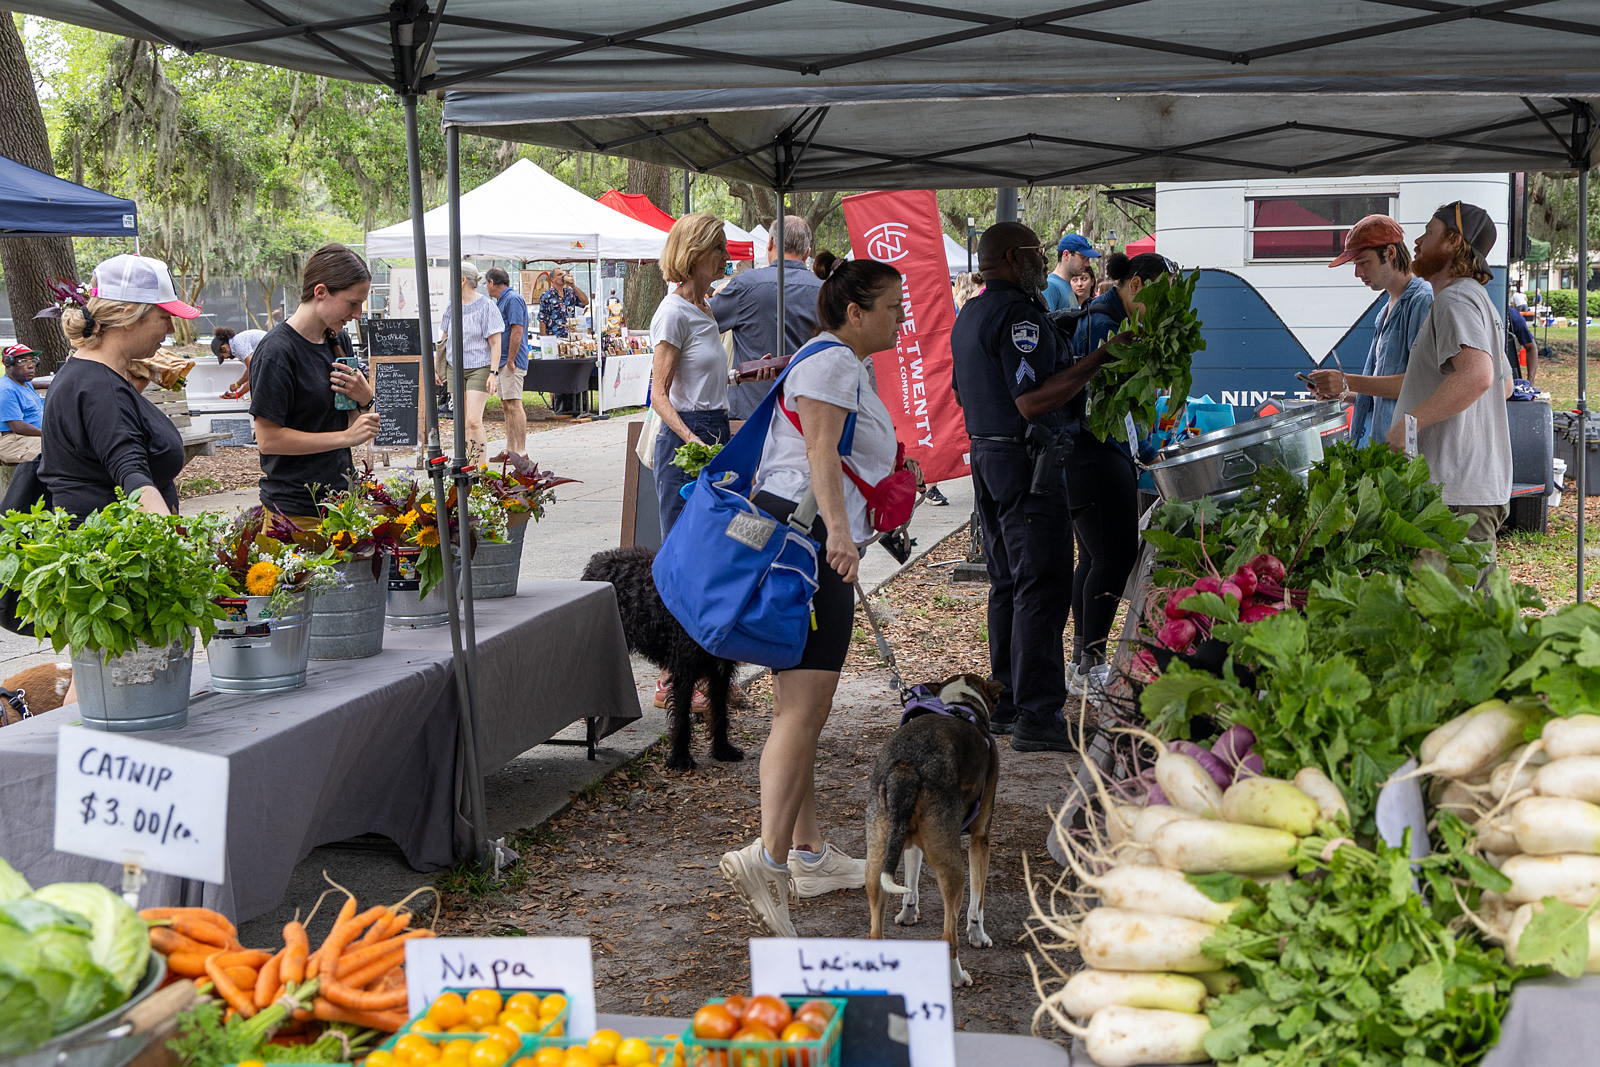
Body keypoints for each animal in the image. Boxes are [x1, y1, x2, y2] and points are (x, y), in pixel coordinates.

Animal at [580, 546, 743, 772]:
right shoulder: (684, 672)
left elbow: (719, 712)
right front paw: (680, 758)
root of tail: (599, 560)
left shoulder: (721, 673)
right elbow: (682, 717)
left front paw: (722, 750)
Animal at [866, 672, 1002, 987]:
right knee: (948, 935)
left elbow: (911, 883)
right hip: (953, 869)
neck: (959, 704)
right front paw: (978, 935)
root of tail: (906, 767)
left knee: (875, 932)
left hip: (877, 859)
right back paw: (958, 976)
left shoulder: (910, 843)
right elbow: (977, 903)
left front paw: (908, 913)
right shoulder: (980, 838)